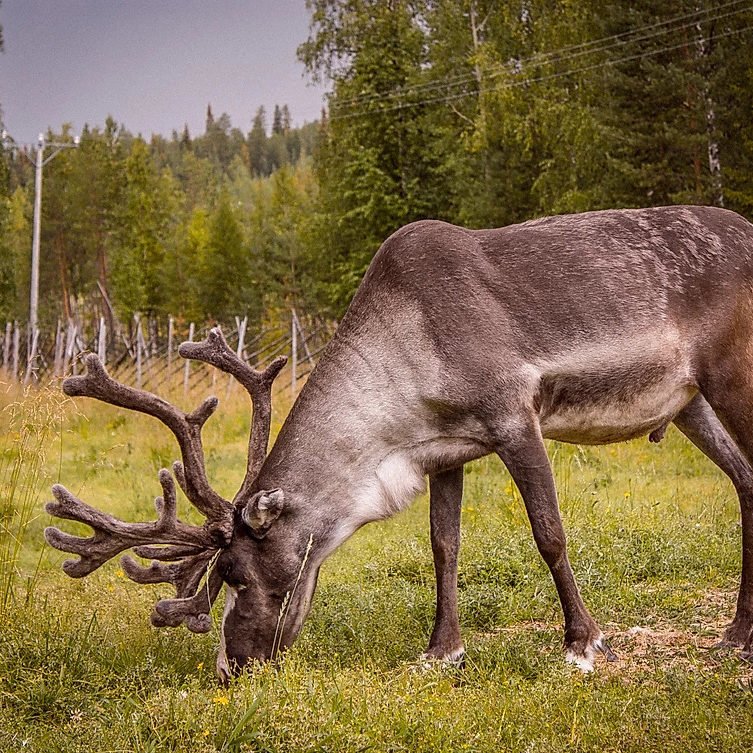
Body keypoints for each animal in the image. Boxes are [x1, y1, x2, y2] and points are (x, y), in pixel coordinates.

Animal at [46, 204, 753, 681]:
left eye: (239, 574)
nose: (231, 667)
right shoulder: (448, 450)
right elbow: (444, 546)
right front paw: (443, 649)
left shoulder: (513, 416)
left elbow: (548, 531)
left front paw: (582, 642)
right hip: (690, 402)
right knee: (745, 480)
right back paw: (736, 633)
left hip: (731, 374)